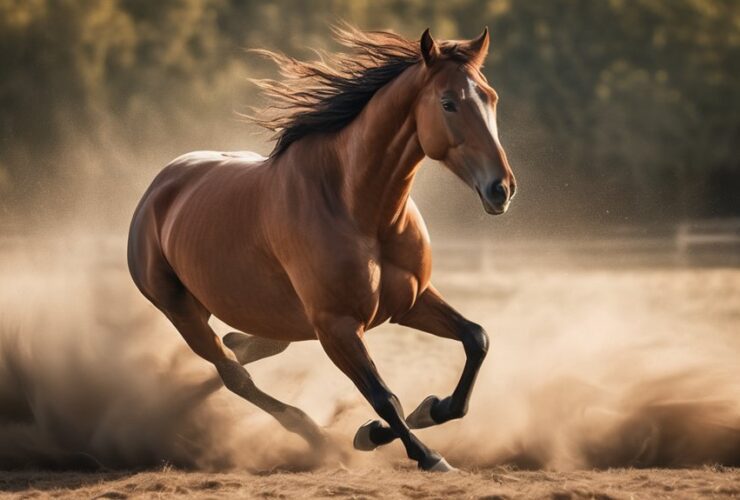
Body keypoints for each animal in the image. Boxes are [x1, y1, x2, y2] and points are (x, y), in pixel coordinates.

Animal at [127, 25, 516, 472]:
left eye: (491, 97)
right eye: (448, 103)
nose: (502, 189)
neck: (361, 210)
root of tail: (159, 187)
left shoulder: (410, 302)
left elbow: (476, 340)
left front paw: (425, 410)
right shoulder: (337, 327)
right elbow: (385, 397)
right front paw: (421, 452)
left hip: (273, 317)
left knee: (247, 351)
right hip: (181, 310)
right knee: (235, 376)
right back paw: (313, 434)